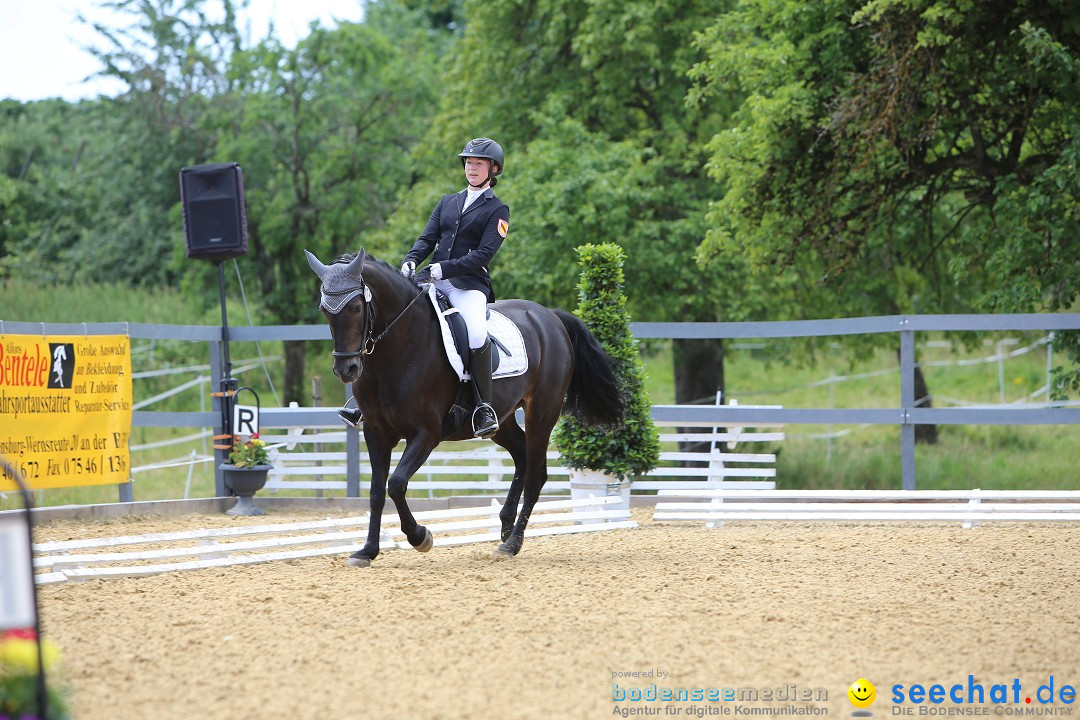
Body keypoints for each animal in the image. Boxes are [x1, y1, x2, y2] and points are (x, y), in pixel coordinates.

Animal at [304, 250, 626, 565]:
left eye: (357, 308)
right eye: (324, 310)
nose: (346, 370)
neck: (399, 348)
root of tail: (550, 317)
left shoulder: (426, 433)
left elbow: (395, 483)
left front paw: (420, 537)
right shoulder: (376, 432)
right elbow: (375, 491)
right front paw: (367, 551)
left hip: (543, 412)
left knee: (536, 474)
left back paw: (512, 543)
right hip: (502, 419)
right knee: (522, 456)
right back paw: (505, 524)